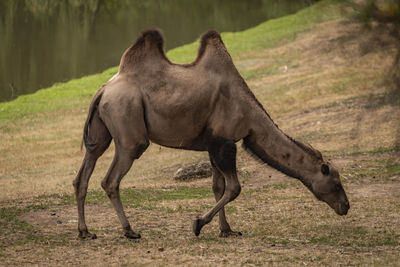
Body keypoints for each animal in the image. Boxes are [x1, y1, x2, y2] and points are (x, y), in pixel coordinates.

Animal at [72, 29, 350, 241]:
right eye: (336, 182)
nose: (346, 206)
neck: (251, 117)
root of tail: (102, 91)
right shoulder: (225, 141)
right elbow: (234, 188)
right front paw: (197, 224)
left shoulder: (212, 143)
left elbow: (218, 187)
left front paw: (226, 230)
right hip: (129, 131)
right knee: (111, 180)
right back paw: (130, 231)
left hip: (101, 132)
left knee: (83, 174)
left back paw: (85, 232)